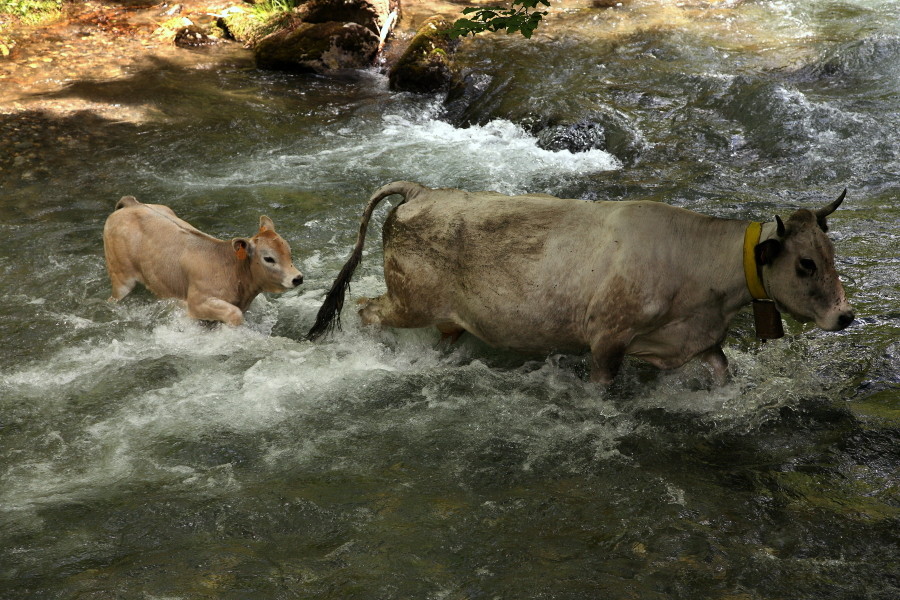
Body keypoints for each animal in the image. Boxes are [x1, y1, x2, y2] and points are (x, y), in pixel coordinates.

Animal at [103, 196, 302, 326]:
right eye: (269, 258)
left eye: (289, 252)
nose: (298, 278)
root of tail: (132, 203)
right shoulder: (196, 303)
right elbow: (234, 314)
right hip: (120, 276)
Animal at [308, 180, 852, 384]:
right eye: (805, 264)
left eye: (830, 254)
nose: (845, 316)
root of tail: (422, 190)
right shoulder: (606, 337)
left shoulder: (696, 339)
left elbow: (723, 375)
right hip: (409, 300)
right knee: (366, 310)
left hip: (443, 313)